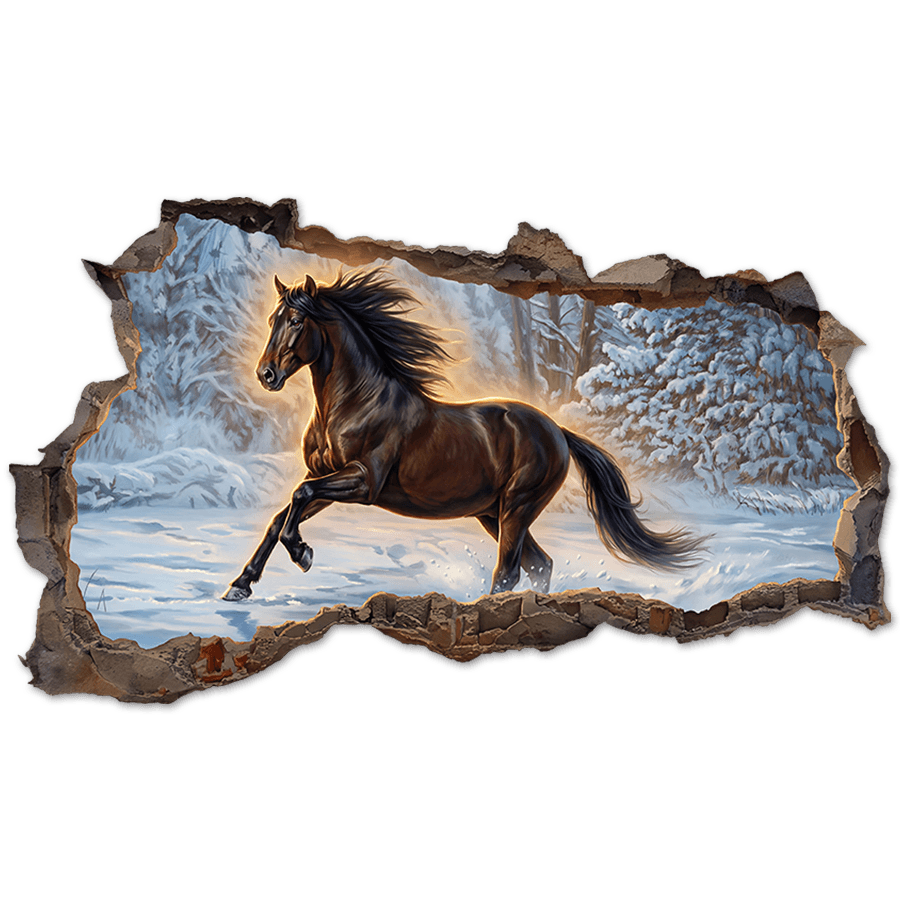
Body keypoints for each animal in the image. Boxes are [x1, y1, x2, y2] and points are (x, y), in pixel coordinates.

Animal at [223, 269, 704, 602]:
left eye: (297, 321)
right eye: (273, 318)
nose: (266, 375)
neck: (356, 402)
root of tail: (557, 431)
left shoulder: (363, 481)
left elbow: (297, 499)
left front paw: (303, 555)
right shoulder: (328, 478)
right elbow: (280, 516)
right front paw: (240, 585)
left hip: (517, 507)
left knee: (510, 571)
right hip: (493, 513)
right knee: (540, 565)